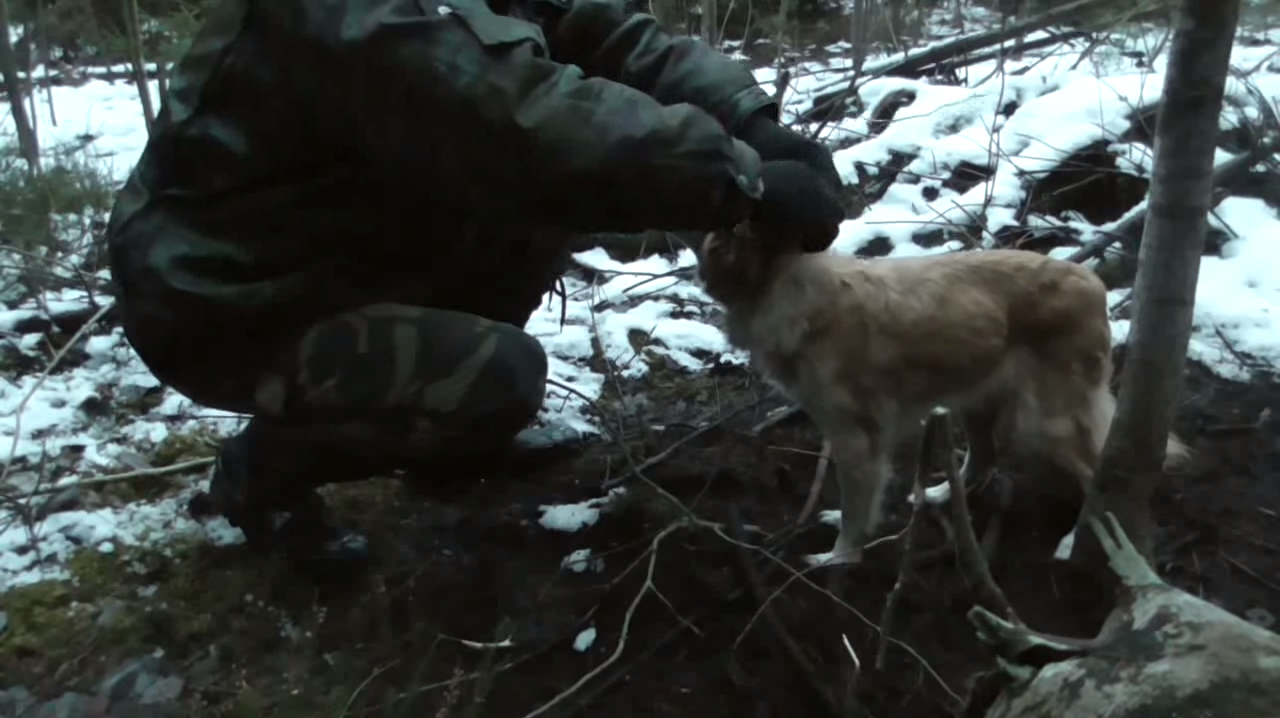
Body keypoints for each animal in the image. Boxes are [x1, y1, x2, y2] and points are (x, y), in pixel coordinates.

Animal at [701, 223, 1187, 565]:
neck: (786, 284)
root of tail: (1090, 280)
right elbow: (859, 502)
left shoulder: (856, 437)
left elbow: (857, 508)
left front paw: (839, 559)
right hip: (976, 398)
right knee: (983, 460)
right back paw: (938, 495)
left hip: (1046, 421)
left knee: (1093, 477)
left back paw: (1072, 543)